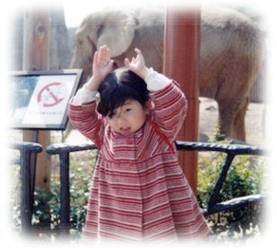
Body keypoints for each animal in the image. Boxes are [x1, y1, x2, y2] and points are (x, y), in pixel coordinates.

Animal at [70, 6, 262, 141]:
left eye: (79, 41)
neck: (112, 11)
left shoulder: (142, 45)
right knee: (241, 104)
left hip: (239, 60)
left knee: (227, 103)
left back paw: (221, 141)